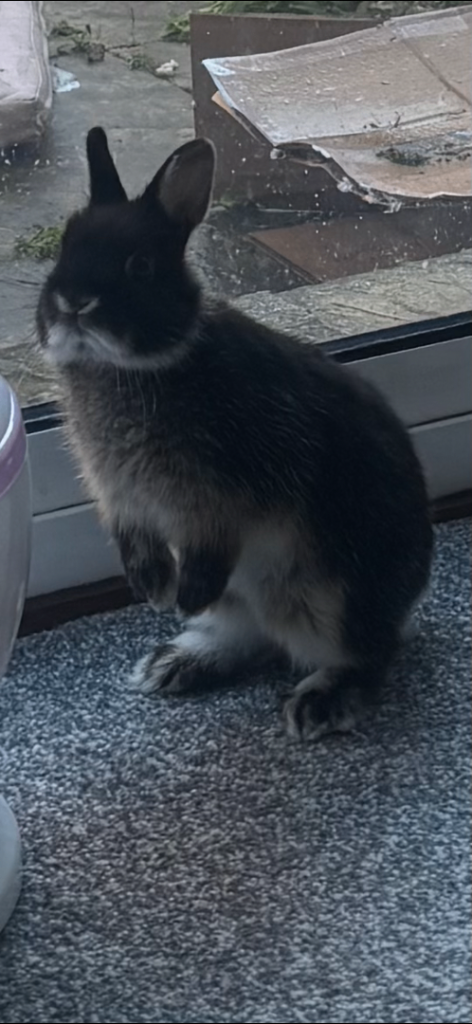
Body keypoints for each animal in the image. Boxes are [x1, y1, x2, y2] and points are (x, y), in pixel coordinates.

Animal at [36, 127, 434, 740]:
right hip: (250, 601)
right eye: (64, 248)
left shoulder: (224, 500)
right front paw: (154, 591)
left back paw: (320, 702)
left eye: (140, 265)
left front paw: (181, 593)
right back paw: (176, 662)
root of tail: (407, 600)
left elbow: (214, 544)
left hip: (333, 596)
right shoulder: (121, 500)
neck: (131, 370)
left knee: (366, 654)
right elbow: (137, 543)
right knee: (251, 636)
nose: (73, 302)